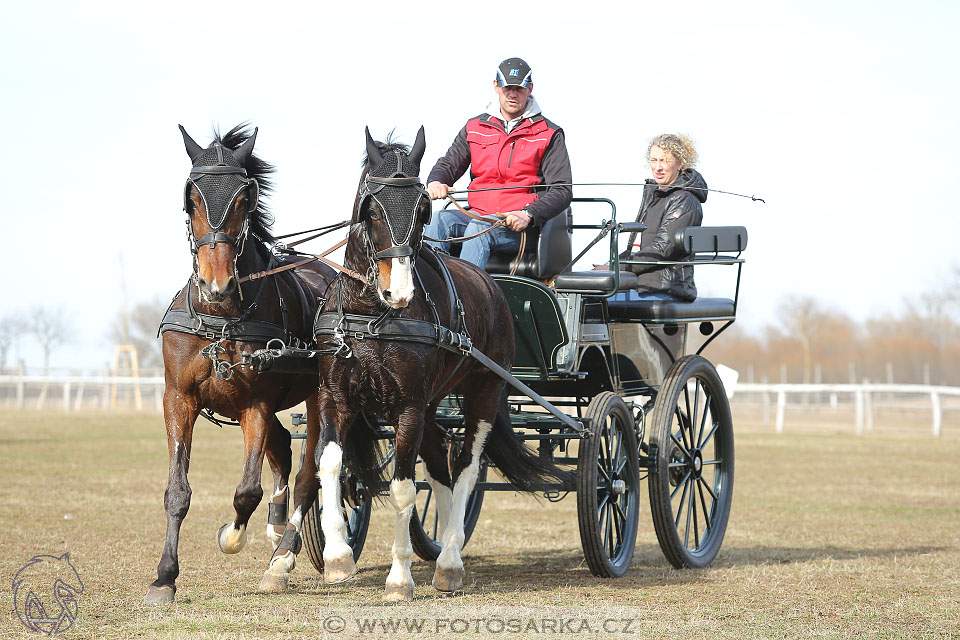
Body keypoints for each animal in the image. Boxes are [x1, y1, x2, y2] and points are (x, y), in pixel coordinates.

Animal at [141, 124, 338, 604]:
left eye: (244, 199)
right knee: (284, 449)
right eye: (192, 198)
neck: (222, 318)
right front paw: (165, 577)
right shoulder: (178, 399)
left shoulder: (256, 405)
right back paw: (277, 525)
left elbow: (247, 491)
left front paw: (231, 535)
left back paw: (283, 558)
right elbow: (177, 491)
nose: (217, 284)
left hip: (322, 398)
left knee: (309, 473)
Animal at [256, 129, 568, 600]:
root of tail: (493, 285)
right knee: (440, 465)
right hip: (433, 406)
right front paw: (337, 556)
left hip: (483, 393)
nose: (398, 292)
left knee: (467, 469)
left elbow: (403, 489)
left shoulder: (407, 408)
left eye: (423, 210)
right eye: (371, 209)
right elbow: (329, 466)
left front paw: (399, 578)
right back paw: (441, 556)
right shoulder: (335, 398)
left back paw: (451, 560)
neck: (372, 315)